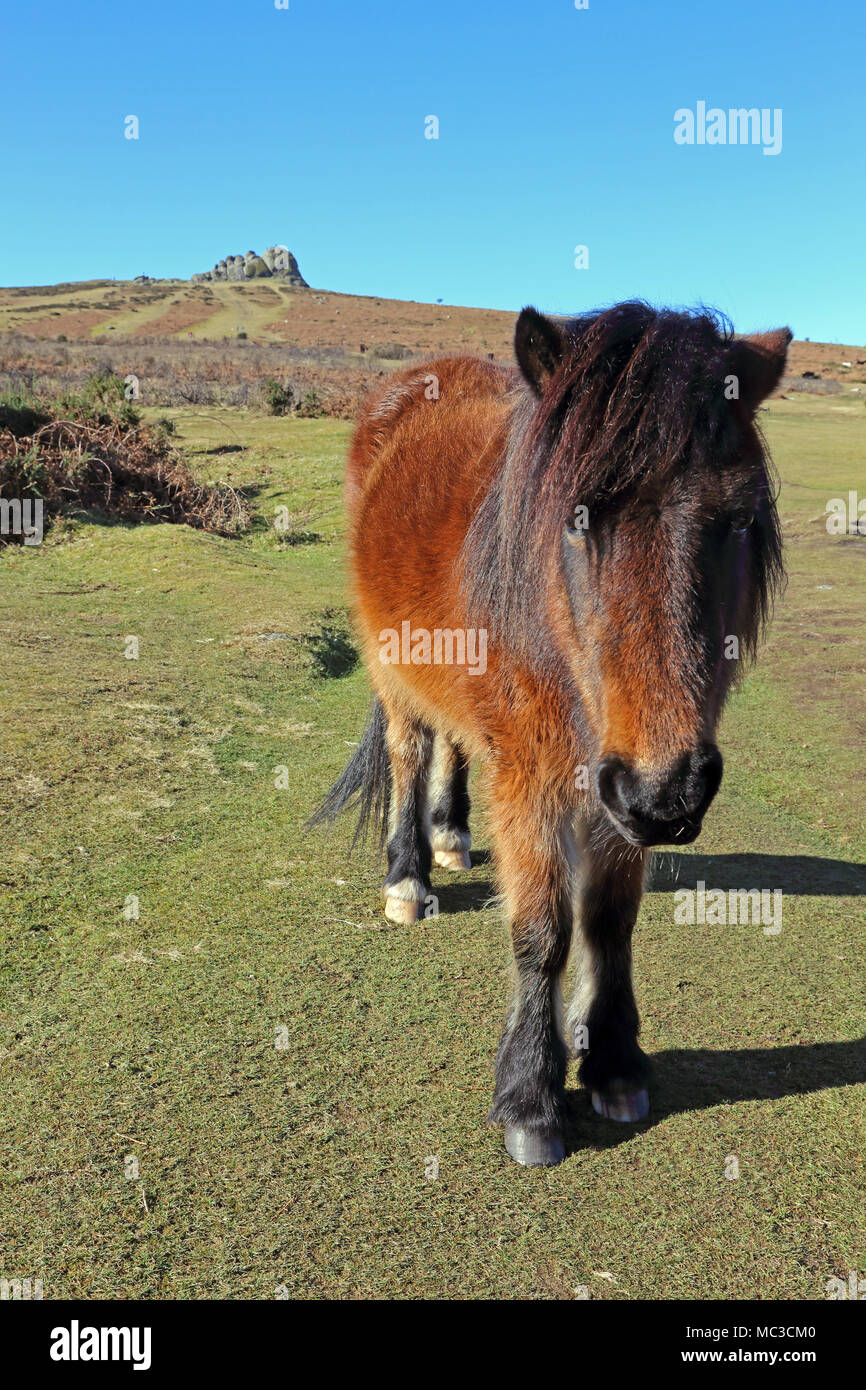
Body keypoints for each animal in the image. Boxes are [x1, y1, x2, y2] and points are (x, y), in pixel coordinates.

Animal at [311, 301, 790, 1166]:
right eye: (577, 518)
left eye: (737, 521)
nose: (669, 793)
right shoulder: (540, 777)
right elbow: (543, 929)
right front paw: (530, 1096)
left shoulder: (614, 791)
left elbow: (608, 922)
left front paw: (613, 1064)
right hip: (394, 672)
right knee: (409, 752)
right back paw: (409, 876)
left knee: (453, 747)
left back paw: (451, 837)